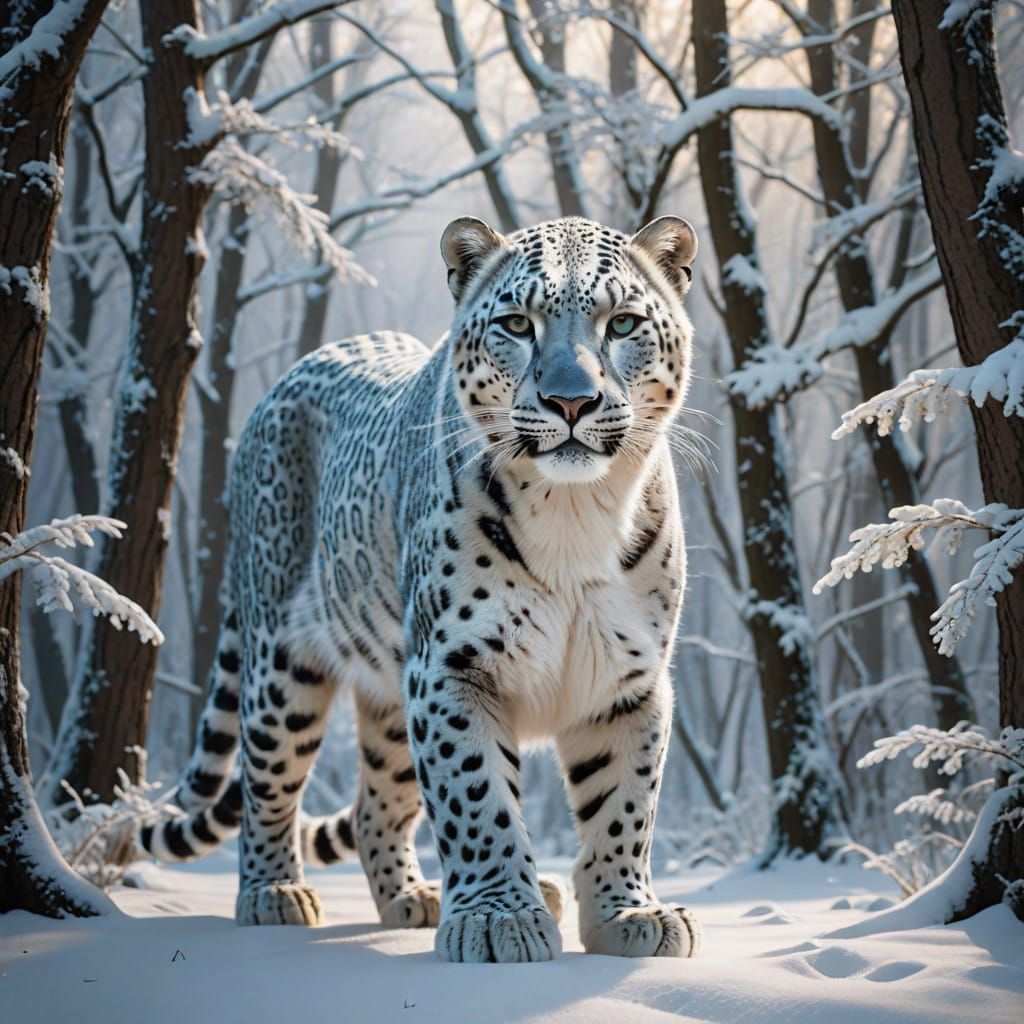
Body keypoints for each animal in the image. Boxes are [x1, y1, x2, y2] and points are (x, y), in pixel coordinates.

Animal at [142, 214, 702, 963]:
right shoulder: (452, 667)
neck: (573, 513)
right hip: (282, 666)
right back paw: (274, 895)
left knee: (375, 802)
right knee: (267, 783)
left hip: (388, 690)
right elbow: (478, 799)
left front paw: (627, 913)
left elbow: (624, 803)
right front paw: (499, 919)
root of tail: (287, 378)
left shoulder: (629, 678)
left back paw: (413, 898)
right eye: (517, 324)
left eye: (623, 324)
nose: (571, 401)